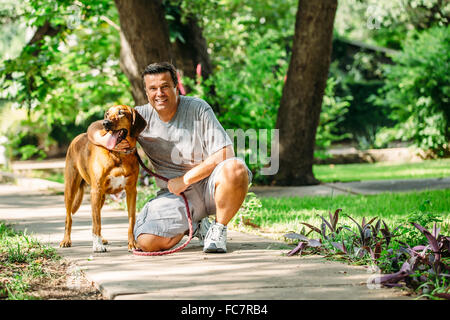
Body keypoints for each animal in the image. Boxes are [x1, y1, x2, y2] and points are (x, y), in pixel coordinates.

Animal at [59, 105, 147, 252]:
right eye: (106, 114)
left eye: (121, 112)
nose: (105, 123)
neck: (119, 154)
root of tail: (77, 137)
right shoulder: (96, 190)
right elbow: (97, 221)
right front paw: (97, 245)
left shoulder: (131, 191)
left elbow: (131, 220)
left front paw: (132, 243)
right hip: (71, 188)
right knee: (69, 217)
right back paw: (66, 240)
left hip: (101, 197)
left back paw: (101, 238)